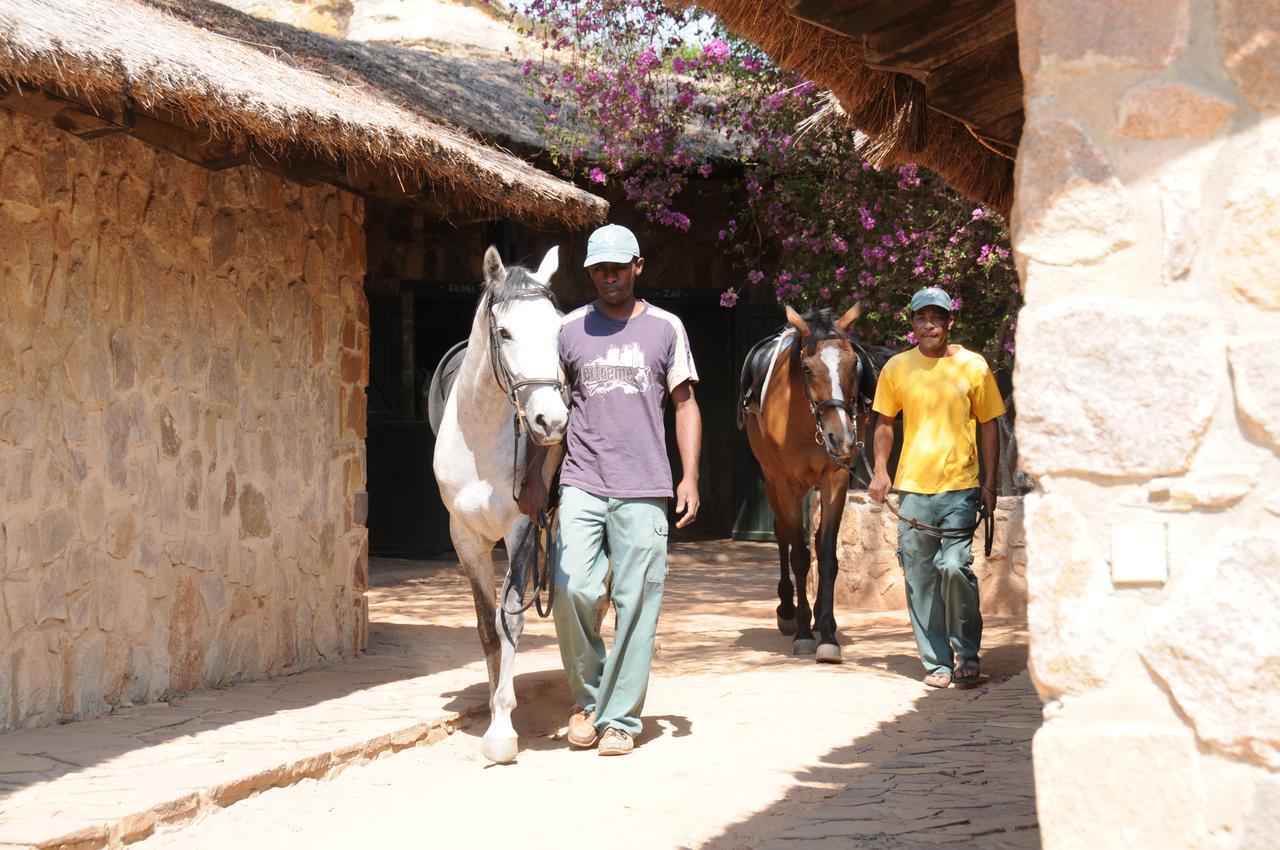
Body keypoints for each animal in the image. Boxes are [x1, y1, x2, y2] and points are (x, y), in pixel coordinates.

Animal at [432, 244, 568, 762]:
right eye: (505, 332)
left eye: (558, 328)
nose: (551, 421)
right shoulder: (465, 538)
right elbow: (487, 628)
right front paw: (493, 707)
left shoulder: (521, 529)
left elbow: (511, 617)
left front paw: (503, 729)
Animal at [747, 305, 896, 665]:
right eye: (807, 368)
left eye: (853, 364)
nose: (841, 438)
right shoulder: (786, 484)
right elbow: (800, 555)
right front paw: (803, 632)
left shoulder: (835, 479)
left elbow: (826, 555)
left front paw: (827, 635)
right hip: (771, 481)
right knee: (783, 537)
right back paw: (788, 611)